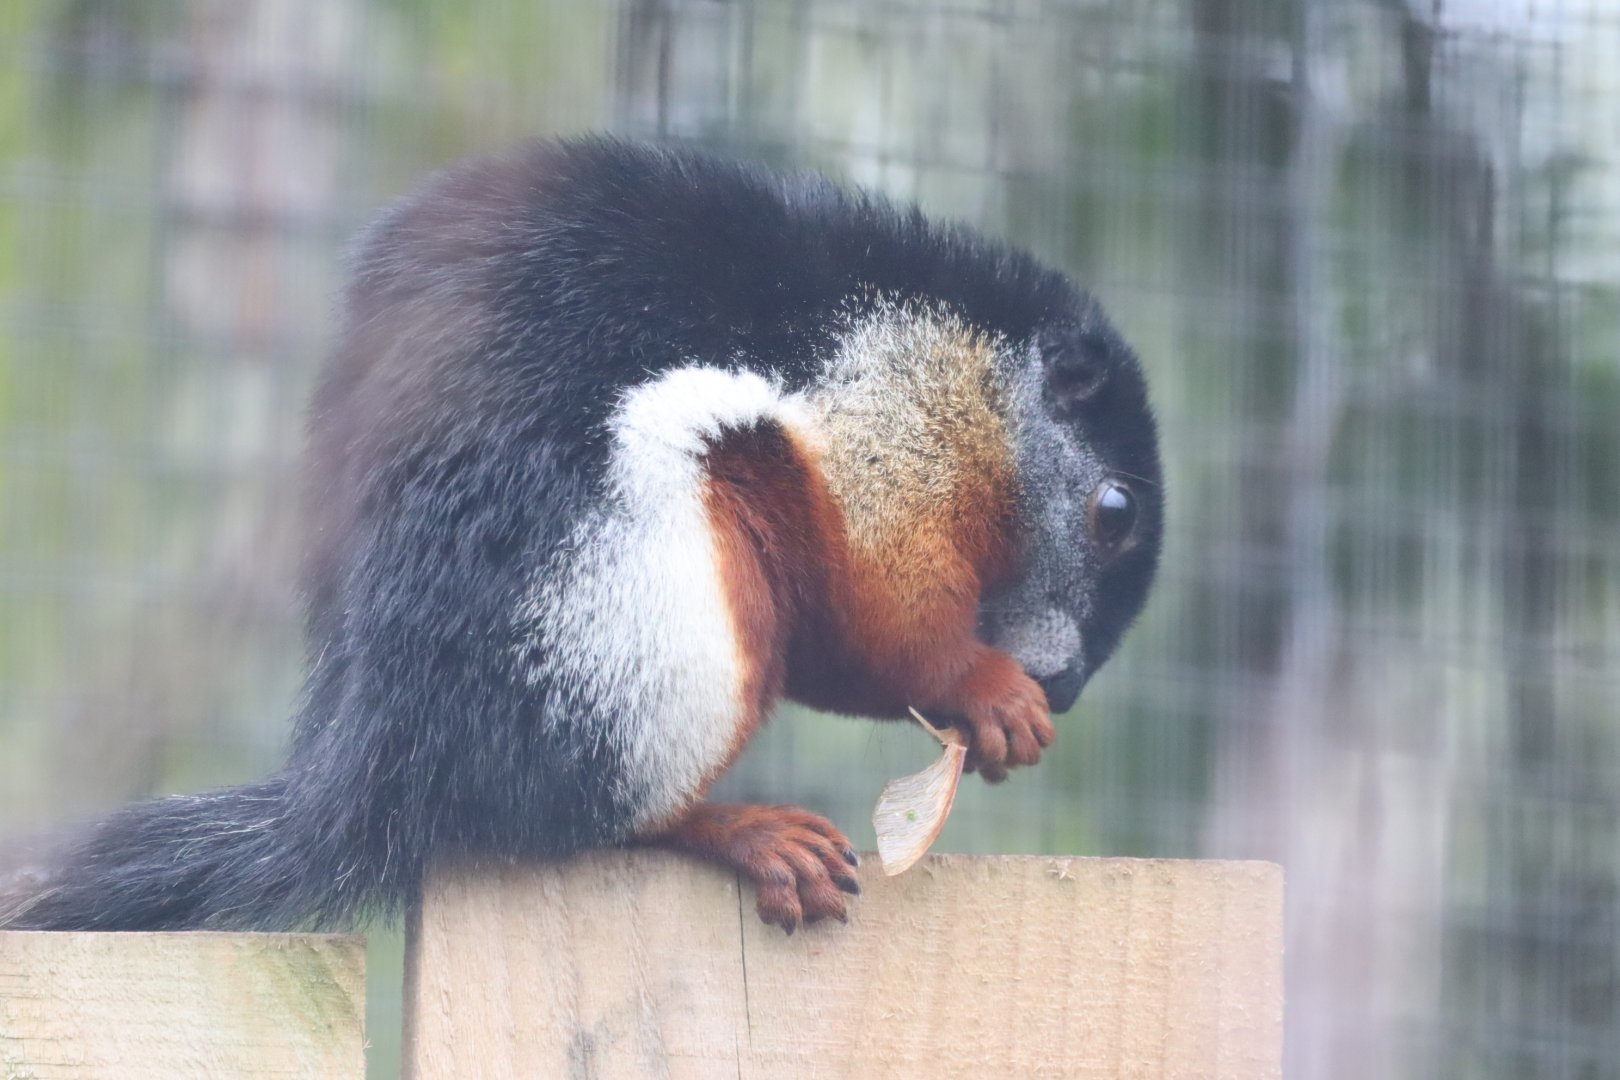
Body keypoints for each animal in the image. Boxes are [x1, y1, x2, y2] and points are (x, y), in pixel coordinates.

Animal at [0, 137, 1162, 934]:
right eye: (1114, 511)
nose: (1063, 684)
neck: (975, 375)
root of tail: (382, 774)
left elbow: (836, 649)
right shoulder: (890, 440)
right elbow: (884, 615)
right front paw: (987, 693)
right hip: (648, 636)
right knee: (591, 818)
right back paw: (741, 832)